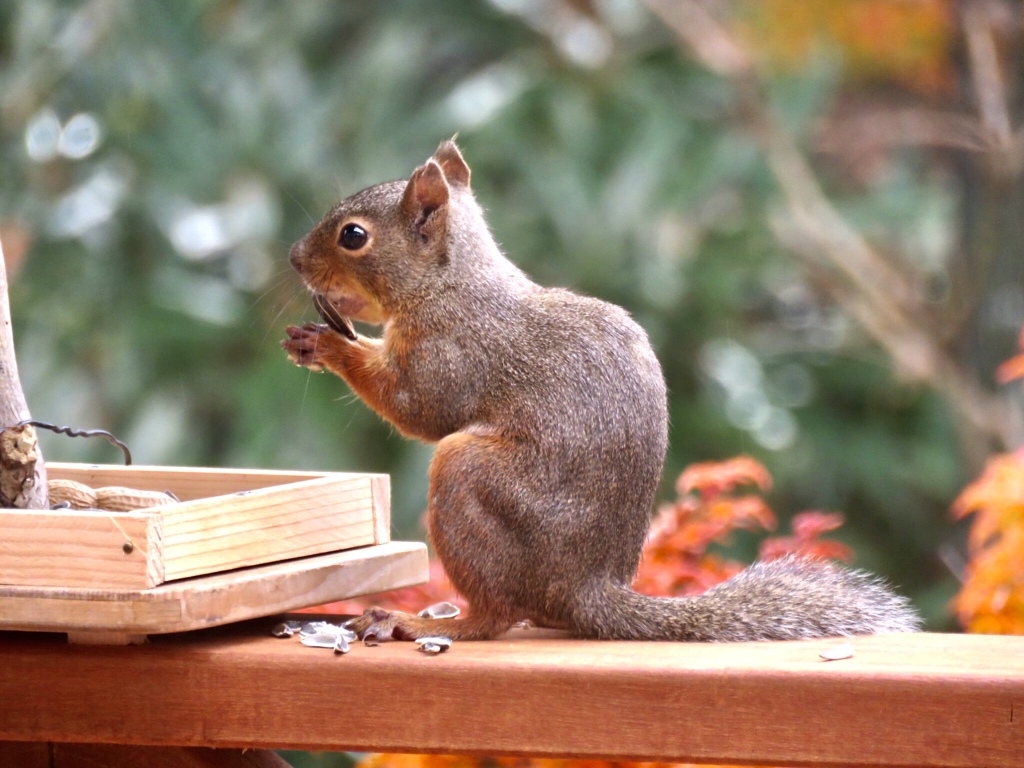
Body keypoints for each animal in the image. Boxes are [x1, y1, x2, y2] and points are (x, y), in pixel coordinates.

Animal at [280, 140, 921, 643]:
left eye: (354, 236)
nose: (293, 259)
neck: (449, 284)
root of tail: (586, 587)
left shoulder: (453, 352)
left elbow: (417, 408)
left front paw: (330, 346)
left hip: (469, 477)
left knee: (494, 615)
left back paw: (427, 623)